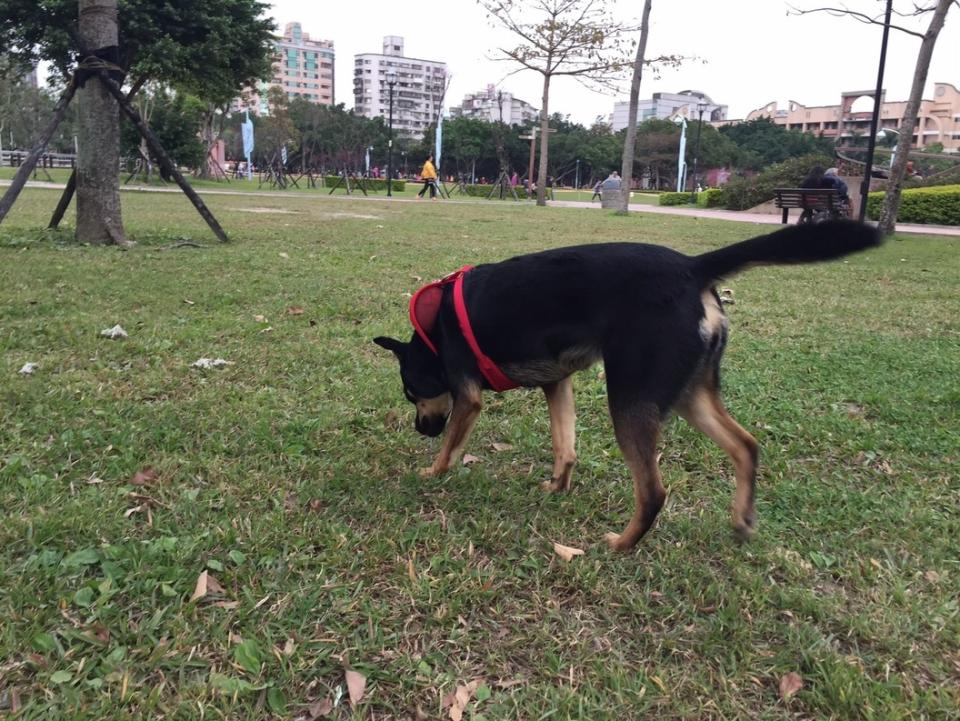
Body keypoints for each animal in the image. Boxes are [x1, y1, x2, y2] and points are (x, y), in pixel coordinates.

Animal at [374, 222, 876, 548]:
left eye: (411, 392)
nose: (420, 429)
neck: (433, 331)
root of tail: (693, 268)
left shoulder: (467, 395)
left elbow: (453, 446)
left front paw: (432, 472)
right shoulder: (558, 384)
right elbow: (566, 446)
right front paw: (557, 487)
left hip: (631, 398)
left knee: (653, 491)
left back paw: (622, 543)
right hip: (690, 393)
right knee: (745, 446)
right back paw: (741, 520)